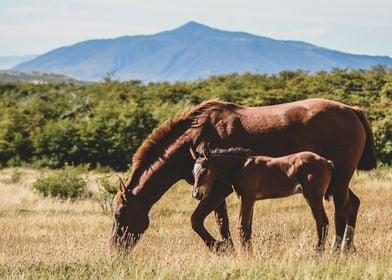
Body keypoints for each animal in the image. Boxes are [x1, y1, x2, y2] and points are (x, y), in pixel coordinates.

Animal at [191, 148, 336, 255]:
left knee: (322, 222)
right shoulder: (251, 200)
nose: (196, 194)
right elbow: (248, 229)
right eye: (193, 171)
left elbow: (242, 226)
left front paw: (245, 256)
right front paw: (249, 254)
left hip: (313, 197)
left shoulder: (247, 197)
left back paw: (316, 254)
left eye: (205, 171)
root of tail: (327, 162)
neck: (241, 167)